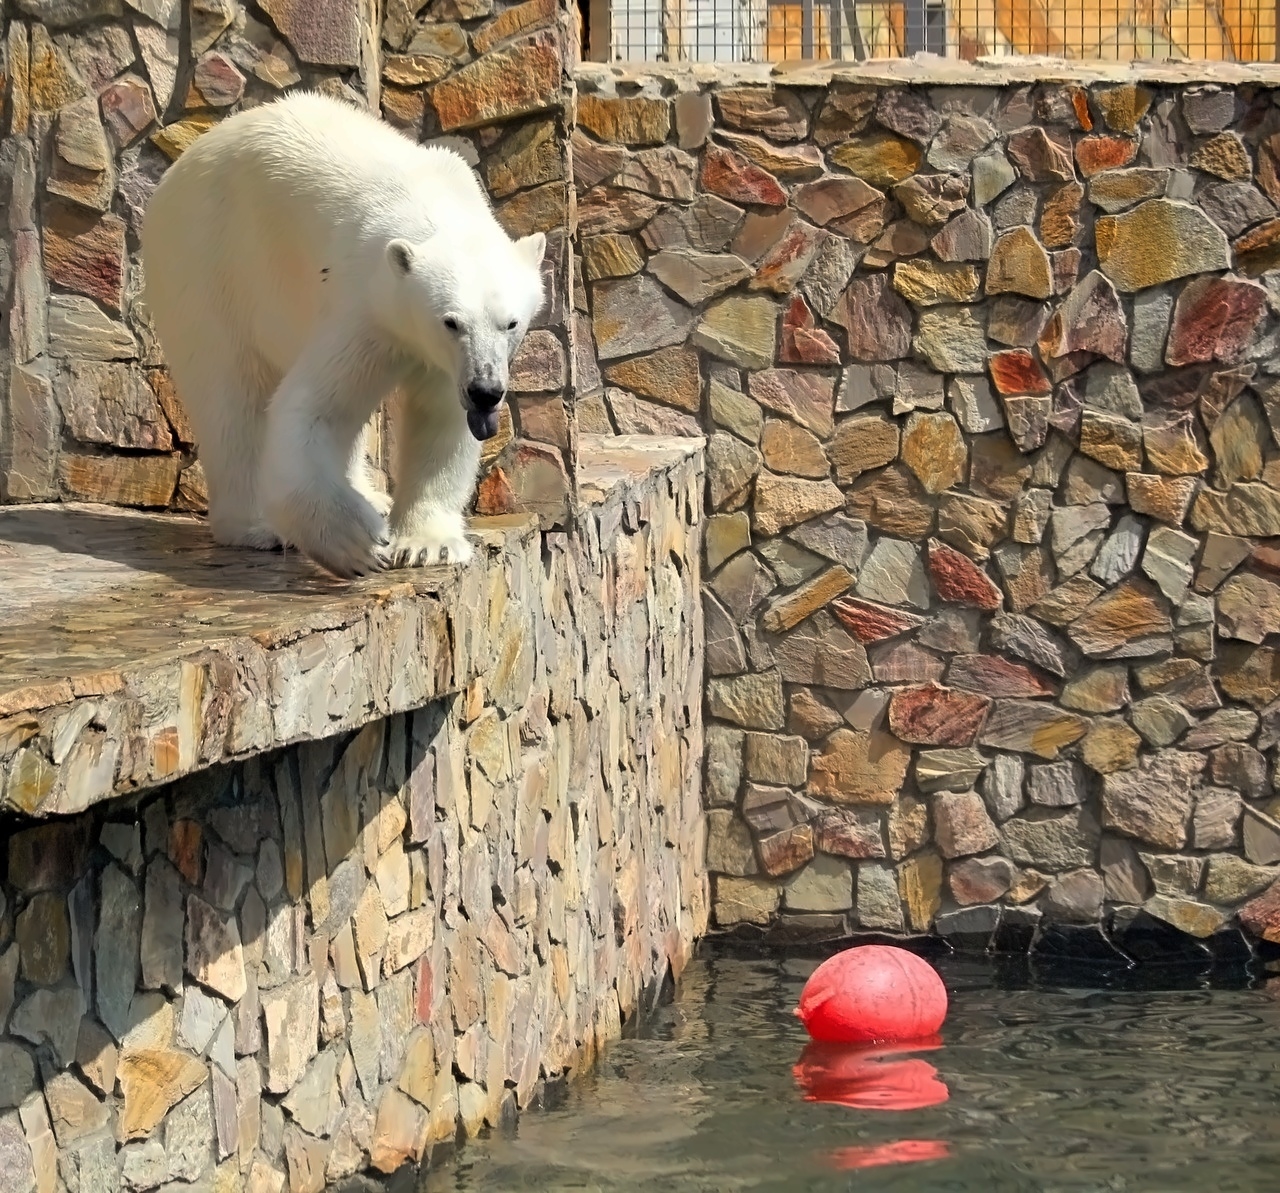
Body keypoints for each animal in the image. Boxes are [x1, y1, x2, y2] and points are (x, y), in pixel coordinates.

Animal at [144, 93, 545, 578]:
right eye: (451, 322)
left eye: (511, 323)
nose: (486, 391)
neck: (435, 204)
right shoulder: (365, 308)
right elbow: (314, 409)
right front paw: (358, 542)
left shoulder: (439, 359)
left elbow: (439, 420)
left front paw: (426, 545)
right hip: (208, 263)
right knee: (230, 392)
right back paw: (258, 526)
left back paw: (372, 495)